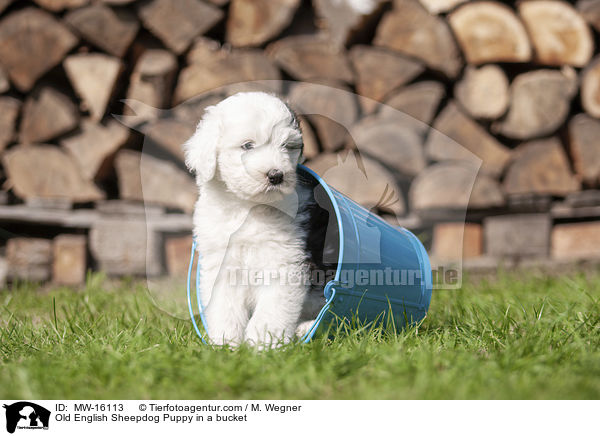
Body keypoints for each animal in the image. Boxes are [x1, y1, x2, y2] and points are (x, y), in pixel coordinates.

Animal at [183, 91, 314, 348]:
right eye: (247, 145)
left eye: (286, 146)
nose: (276, 175)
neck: (247, 208)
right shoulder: (221, 266)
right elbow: (225, 309)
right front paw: (226, 344)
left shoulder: (283, 262)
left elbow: (271, 311)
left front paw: (263, 345)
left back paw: (305, 328)